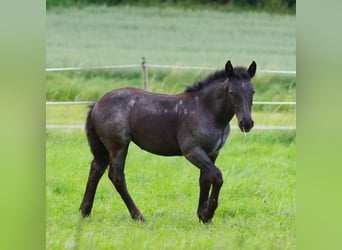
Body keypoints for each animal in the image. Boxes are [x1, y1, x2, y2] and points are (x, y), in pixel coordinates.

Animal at [79, 60, 256, 223]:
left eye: (253, 92)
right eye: (232, 92)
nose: (247, 123)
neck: (206, 110)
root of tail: (96, 105)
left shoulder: (212, 153)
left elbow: (205, 180)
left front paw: (203, 216)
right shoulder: (192, 151)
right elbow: (217, 176)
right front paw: (208, 214)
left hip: (104, 148)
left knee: (96, 169)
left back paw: (85, 212)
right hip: (118, 146)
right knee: (117, 177)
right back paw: (138, 216)